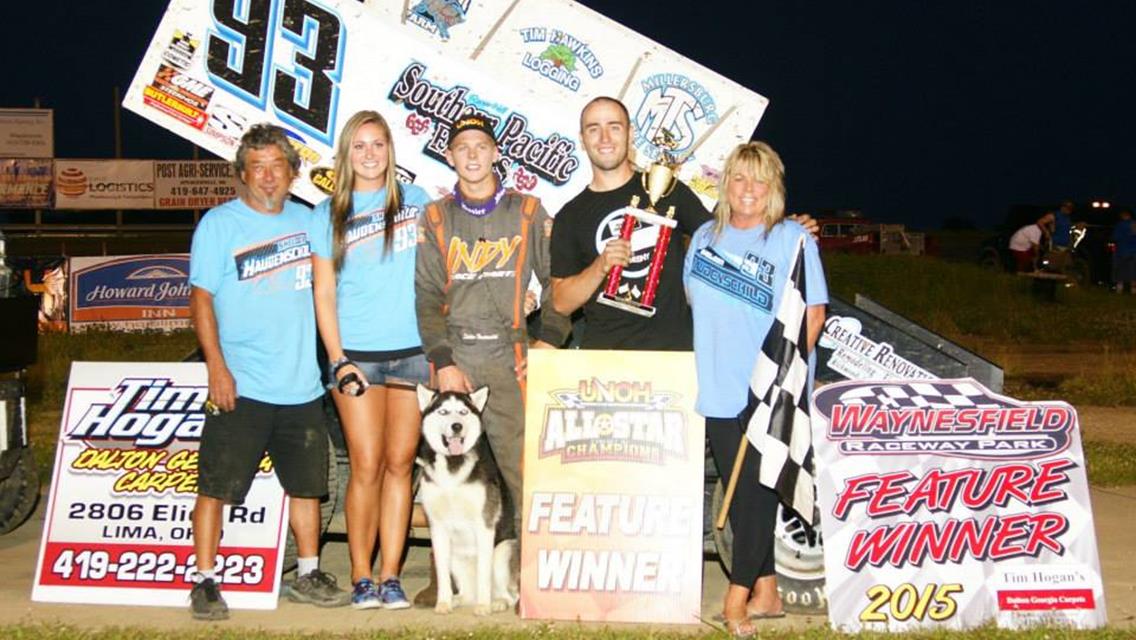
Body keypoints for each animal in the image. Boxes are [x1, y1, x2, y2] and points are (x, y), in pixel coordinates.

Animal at [415, 386, 520, 613]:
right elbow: (442, 576)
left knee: (510, 594)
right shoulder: (437, 528)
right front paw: (443, 602)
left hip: (502, 552)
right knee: (465, 592)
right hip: (455, 557)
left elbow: (483, 574)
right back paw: (457, 600)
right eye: (444, 412)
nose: (457, 426)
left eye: (463, 412)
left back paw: (496, 602)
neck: (452, 466)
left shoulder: (484, 525)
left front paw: (483, 607)